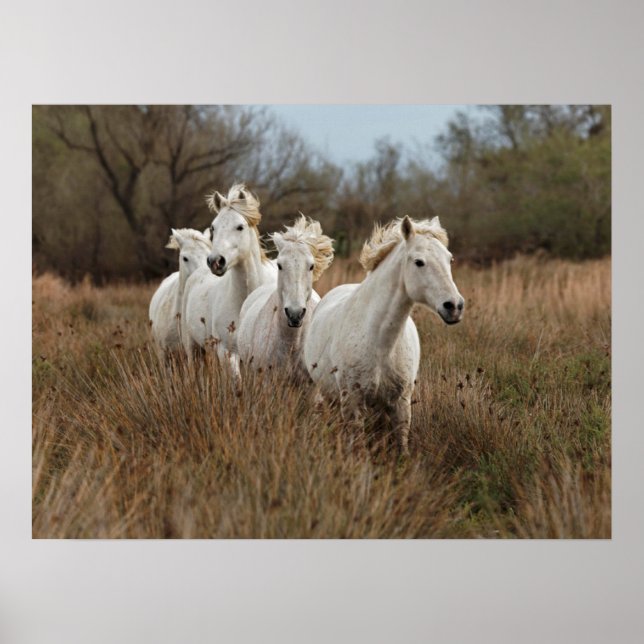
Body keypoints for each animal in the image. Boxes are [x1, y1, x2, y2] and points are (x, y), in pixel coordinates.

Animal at [303, 215, 464, 454]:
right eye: (419, 262)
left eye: (450, 259)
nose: (454, 306)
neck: (379, 343)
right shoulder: (353, 403)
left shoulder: (400, 404)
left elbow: (401, 446)